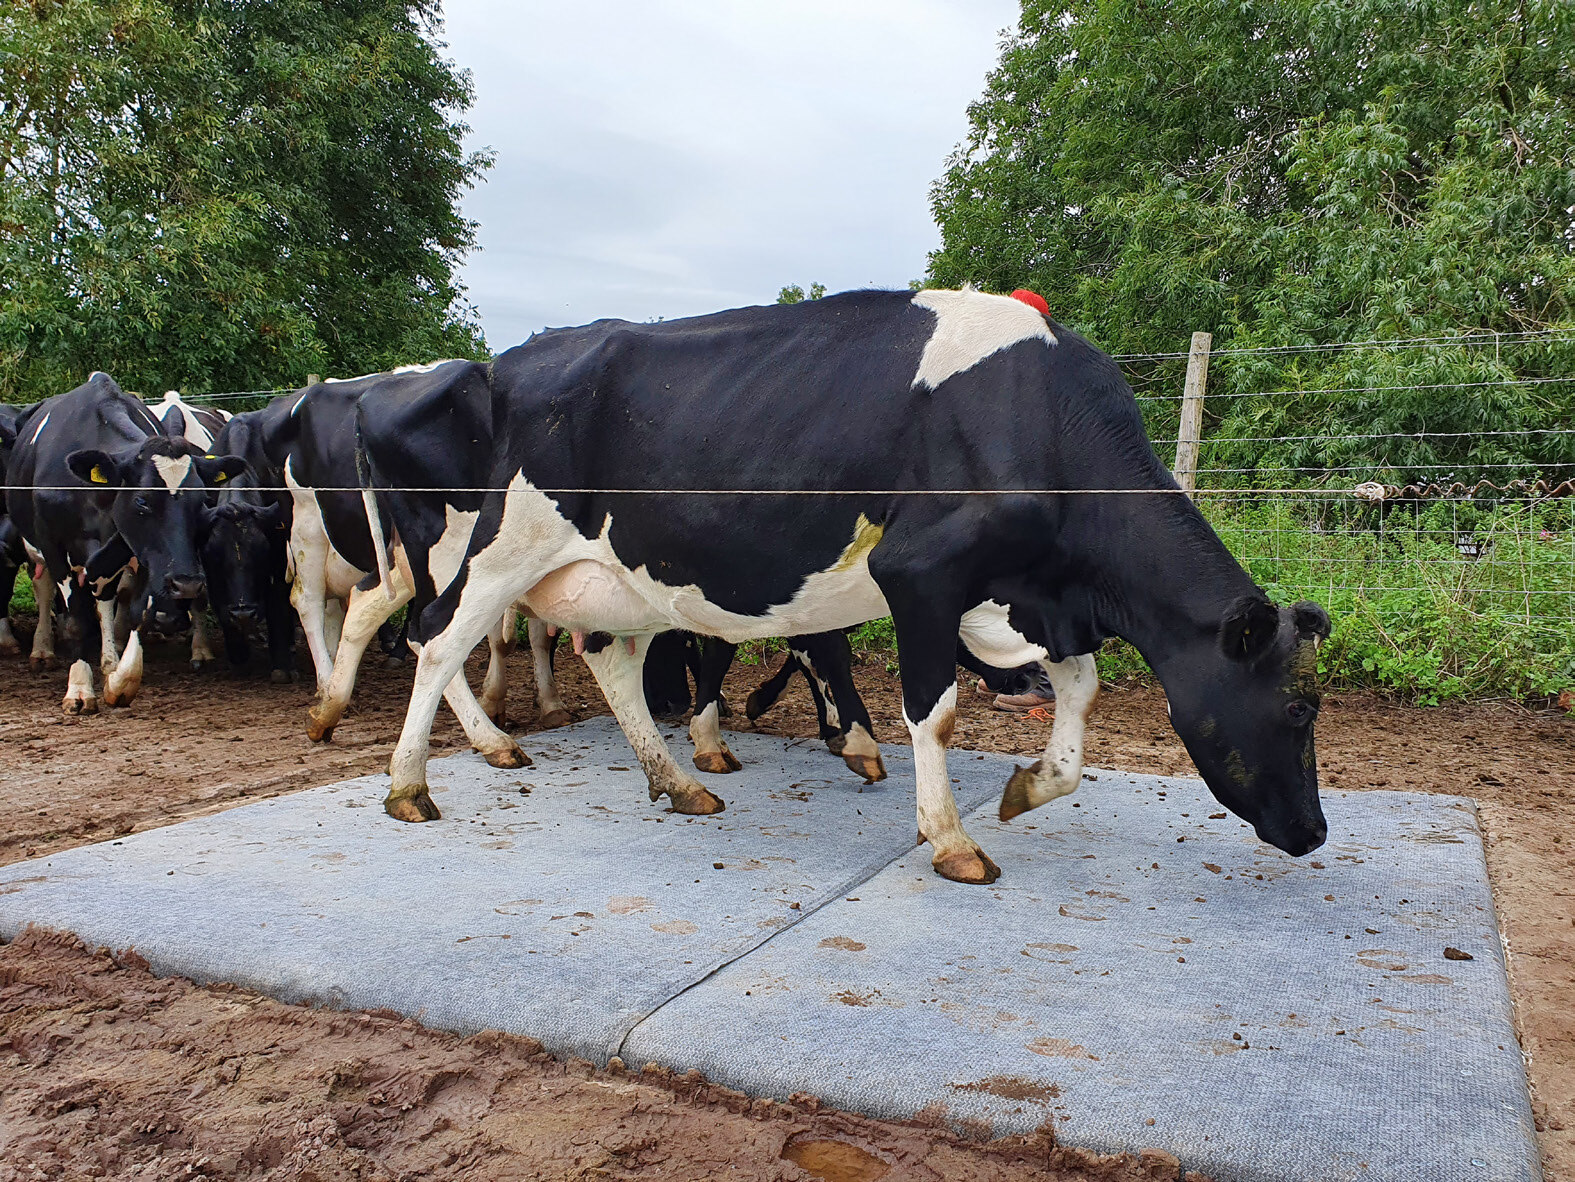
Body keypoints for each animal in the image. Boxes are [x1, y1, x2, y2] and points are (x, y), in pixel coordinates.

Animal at [4, 372, 246, 712]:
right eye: (142, 501)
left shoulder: (142, 556)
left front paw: (119, 679)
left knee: (105, 599)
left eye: (201, 502)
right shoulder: (56, 549)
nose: (186, 583)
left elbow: (136, 612)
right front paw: (79, 689)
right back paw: (43, 650)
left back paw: (109, 661)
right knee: (45, 589)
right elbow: (76, 620)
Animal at [374, 288, 1332, 885]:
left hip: (623, 577)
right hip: (505, 541)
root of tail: (518, 357)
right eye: (1295, 708)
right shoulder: (922, 575)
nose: (1315, 831)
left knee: (612, 663)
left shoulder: (1025, 597)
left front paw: (1028, 787)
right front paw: (949, 840)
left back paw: (678, 783)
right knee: (438, 637)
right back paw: (416, 783)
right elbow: (934, 714)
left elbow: (1081, 691)